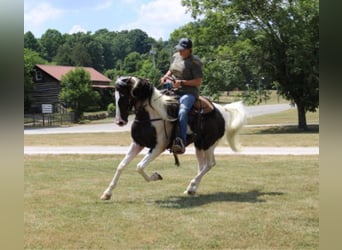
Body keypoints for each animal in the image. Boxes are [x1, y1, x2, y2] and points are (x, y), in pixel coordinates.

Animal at [100, 76, 247, 201]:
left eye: (124, 95)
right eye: (115, 96)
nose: (120, 121)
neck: (151, 115)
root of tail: (222, 109)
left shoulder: (158, 147)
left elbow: (139, 167)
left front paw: (156, 176)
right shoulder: (137, 143)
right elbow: (121, 165)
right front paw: (107, 193)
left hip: (208, 144)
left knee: (210, 164)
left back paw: (191, 185)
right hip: (199, 145)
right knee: (202, 165)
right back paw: (191, 189)